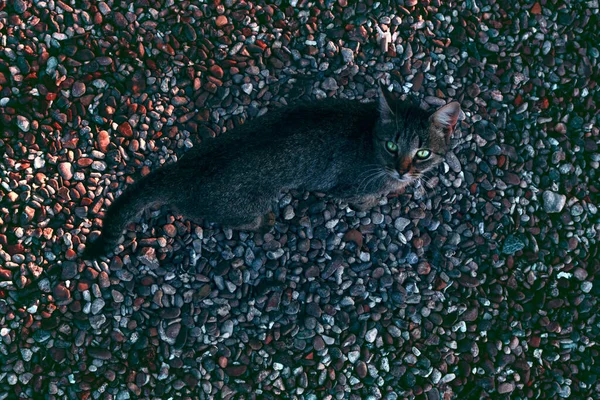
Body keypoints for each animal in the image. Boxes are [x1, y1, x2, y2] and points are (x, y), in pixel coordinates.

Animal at [83, 86, 460, 260]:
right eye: (392, 146)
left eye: (423, 153)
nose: (402, 169)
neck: (369, 139)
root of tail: (181, 169)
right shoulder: (348, 188)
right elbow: (366, 198)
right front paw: (381, 199)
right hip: (249, 204)